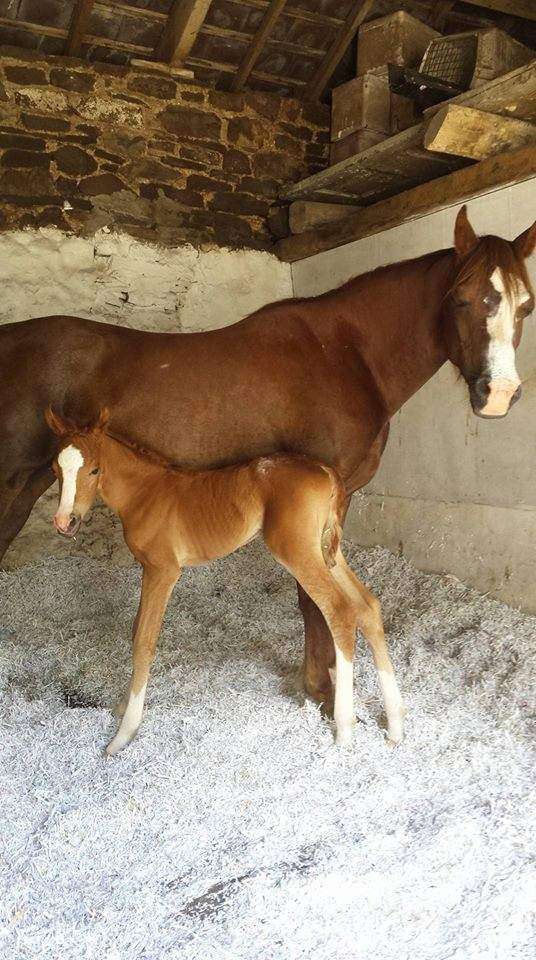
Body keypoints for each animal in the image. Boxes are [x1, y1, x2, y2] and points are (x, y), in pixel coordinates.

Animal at [1, 206, 535, 715]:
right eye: (460, 298)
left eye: (526, 304)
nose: (498, 394)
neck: (344, 355)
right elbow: (311, 600)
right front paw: (323, 693)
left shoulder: (334, 503)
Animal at [45, 407, 406, 755]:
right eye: (55, 470)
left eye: (94, 470)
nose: (65, 522)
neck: (144, 493)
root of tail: (325, 470)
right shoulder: (151, 570)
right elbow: (136, 630)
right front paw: (122, 706)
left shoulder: (162, 570)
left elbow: (143, 641)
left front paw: (124, 733)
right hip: (327, 552)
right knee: (367, 606)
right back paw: (396, 726)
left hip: (297, 551)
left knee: (340, 611)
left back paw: (345, 730)